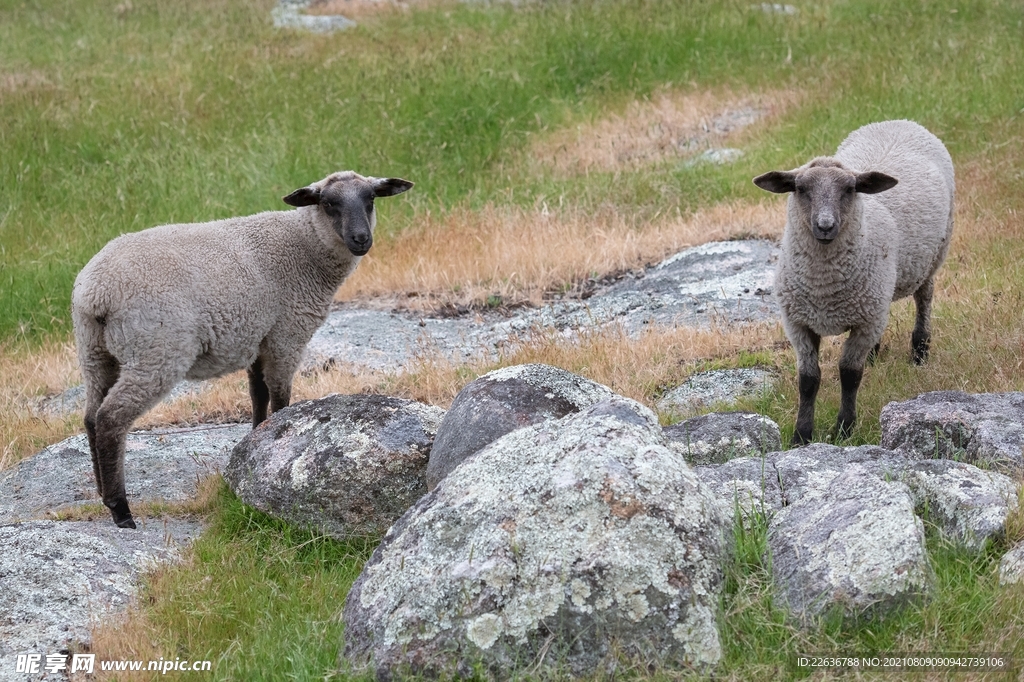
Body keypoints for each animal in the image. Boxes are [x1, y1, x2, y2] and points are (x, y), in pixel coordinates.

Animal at [69, 169, 415, 524]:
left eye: (370, 199)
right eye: (329, 204)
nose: (361, 239)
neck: (305, 246)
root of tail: (96, 293)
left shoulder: (257, 337)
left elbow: (257, 394)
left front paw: (254, 440)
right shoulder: (286, 334)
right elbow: (280, 397)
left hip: (95, 351)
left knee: (91, 417)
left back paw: (101, 492)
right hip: (156, 350)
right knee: (111, 419)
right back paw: (120, 510)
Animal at [753, 119, 950, 444]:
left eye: (849, 188)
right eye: (800, 188)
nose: (825, 226)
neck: (823, 287)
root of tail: (898, 121)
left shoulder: (865, 322)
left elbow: (849, 374)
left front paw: (844, 429)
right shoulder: (798, 322)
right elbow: (808, 380)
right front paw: (801, 435)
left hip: (932, 258)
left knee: (924, 298)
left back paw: (920, 352)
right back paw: (875, 355)